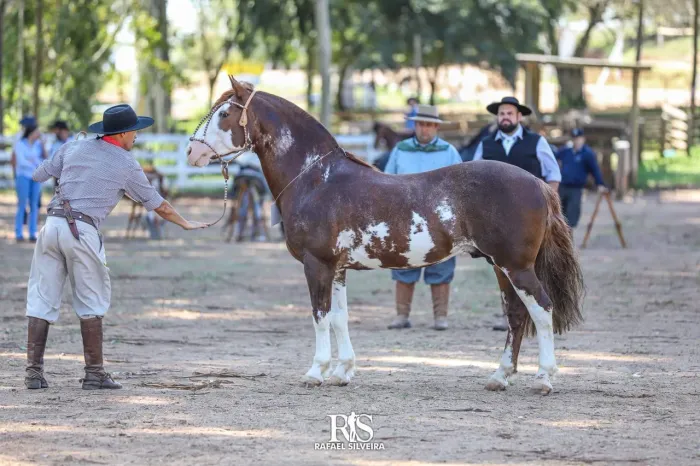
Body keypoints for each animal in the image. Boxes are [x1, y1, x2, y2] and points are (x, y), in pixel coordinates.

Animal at [186, 77, 584, 395]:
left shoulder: (317, 264)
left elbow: (319, 315)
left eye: (224, 114)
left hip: (516, 267)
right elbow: (340, 317)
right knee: (517, 315)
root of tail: (537, 183)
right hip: (501, 268)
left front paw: (316, 372)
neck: (316, 179)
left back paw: (544, 378)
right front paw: (343, 372)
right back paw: (500, 377)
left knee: (542, 309)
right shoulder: (338, 269)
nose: (191, 150)